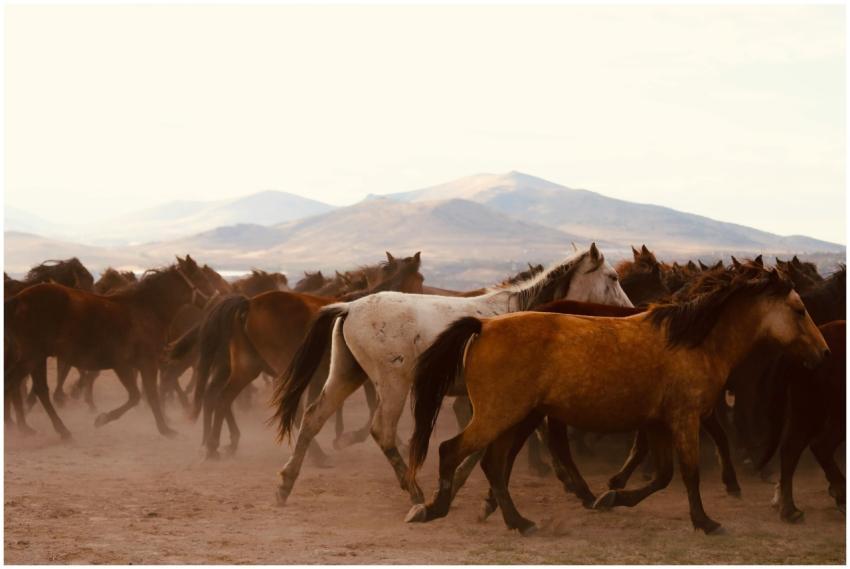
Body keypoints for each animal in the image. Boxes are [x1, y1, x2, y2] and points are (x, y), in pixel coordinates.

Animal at [4, 256, 217, 439]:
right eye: (201, 278)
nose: (217, 299)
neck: (144, 311)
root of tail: (19, 299)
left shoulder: (131, 365)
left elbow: (141, 395)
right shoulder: (136, 364)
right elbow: (144, 395)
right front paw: (163, 428)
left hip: (36, 358)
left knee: (37, 389)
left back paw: (58, 429)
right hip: (32, 357)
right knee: (16, 384)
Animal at [177, 252, 425, 460]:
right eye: (421, 278)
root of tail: (248, 303)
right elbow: (374, 408)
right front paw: (350, 439)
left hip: (247, 367)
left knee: (220, 398)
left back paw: (214, 446)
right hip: (281, 369)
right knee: (285, 410)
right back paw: (316, 455)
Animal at [273, 244, 632, 506]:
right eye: (613, 278)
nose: (630, 311)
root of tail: (349, 308)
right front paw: (580, 488)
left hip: (346, 374)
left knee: (312, 417)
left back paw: (286, 484)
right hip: (392, 384)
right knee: (381, 431)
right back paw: (413, 491)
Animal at [406, 263, 828, 535]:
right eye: (799, 310)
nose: (823, 353)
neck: (694, 341)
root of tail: (483, 326)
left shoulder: (658, 422)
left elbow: (663, 475)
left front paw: (612, 497)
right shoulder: (685, 417)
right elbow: (688, 472)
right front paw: (706, 522)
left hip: (517, 417)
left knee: (494, 464)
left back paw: (518, 520)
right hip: (500, 414)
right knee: (452, 450)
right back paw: (433, 508)